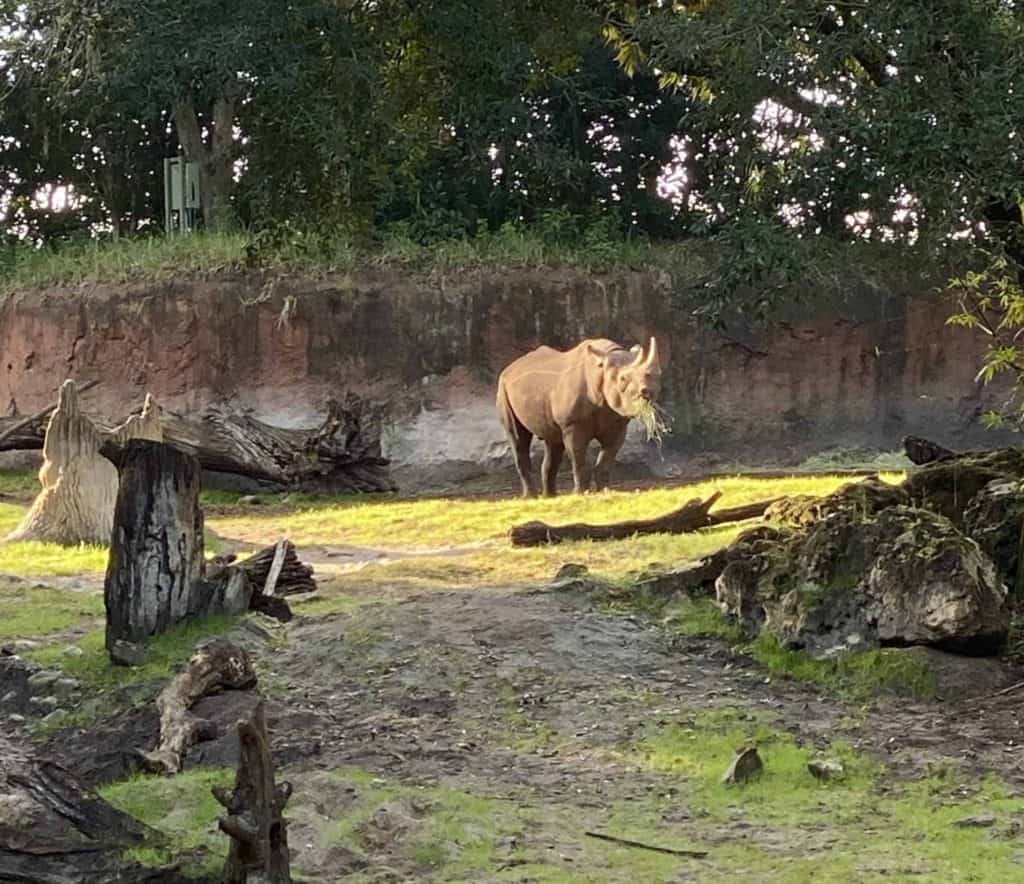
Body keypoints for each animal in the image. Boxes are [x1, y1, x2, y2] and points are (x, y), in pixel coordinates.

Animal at [496, 337, 662, 497]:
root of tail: (510, 367)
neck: (601, 371)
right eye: (622, 379)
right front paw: (581, 493)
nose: (648, 392)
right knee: (518, 437)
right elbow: (579, 460)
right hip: (503, 387)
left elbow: (606, 460)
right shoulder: (573, 425)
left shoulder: (617, 424)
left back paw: (550, 496)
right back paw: (530, 497)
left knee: (553, 441)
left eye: (658, 375)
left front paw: (605, 491)